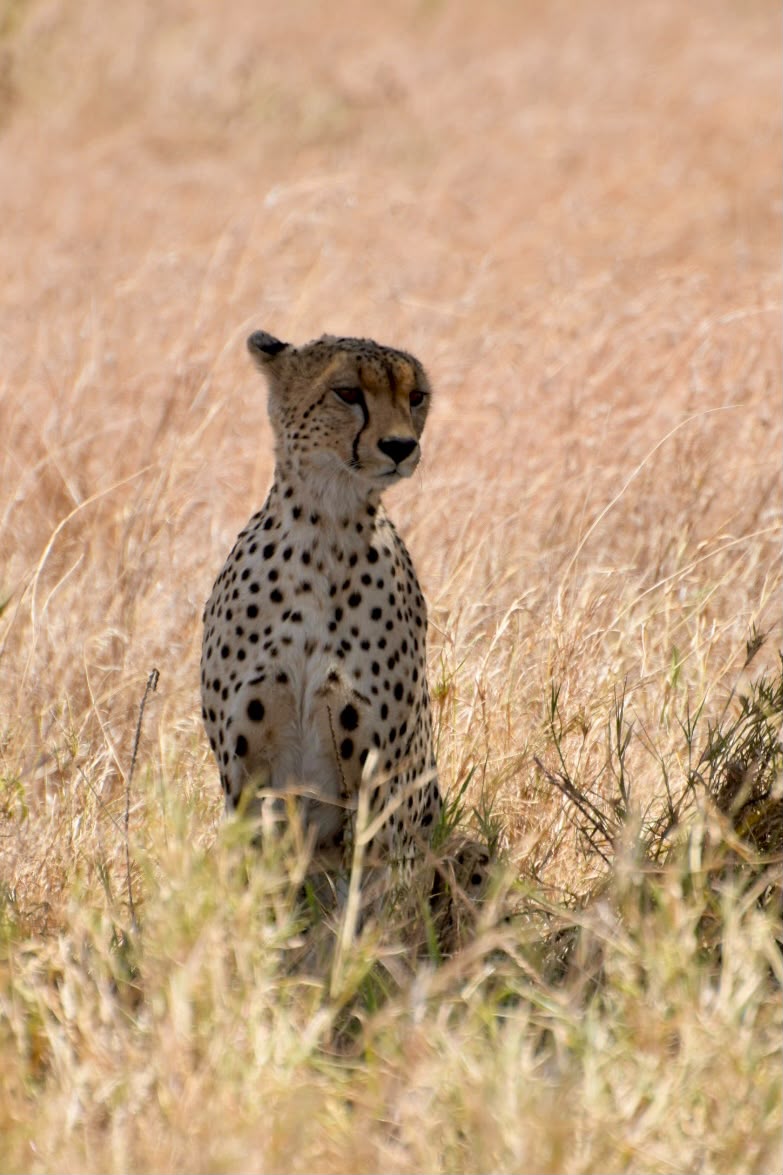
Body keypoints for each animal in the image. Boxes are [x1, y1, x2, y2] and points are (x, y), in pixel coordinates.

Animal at [200, 328, 446, 906]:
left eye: (416, 397)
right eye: (348, 393)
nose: (401, 446)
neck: (326, 529)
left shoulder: (382, 785)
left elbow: (374, 904)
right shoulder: (244, 778)